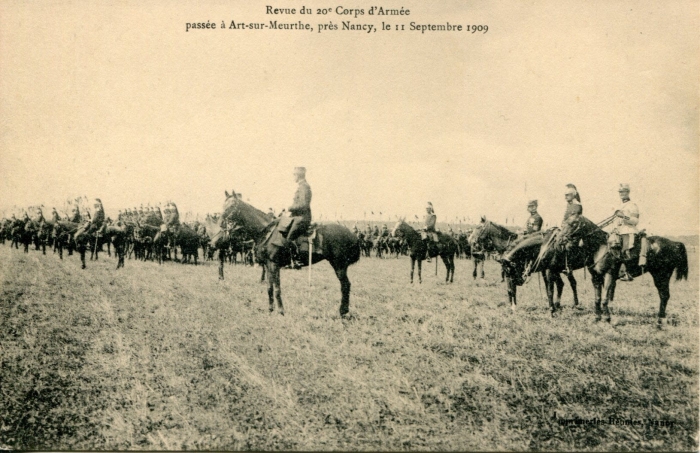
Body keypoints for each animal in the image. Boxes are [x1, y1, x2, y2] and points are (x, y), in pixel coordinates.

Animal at [220, 190, 360, 314]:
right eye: (223, 205)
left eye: (231, 205)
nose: (221, 223)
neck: (267, 232)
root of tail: (351, 234)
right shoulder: (268, 265)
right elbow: (269, 288)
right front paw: (270, 309)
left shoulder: (274, 264)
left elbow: (277, 288)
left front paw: (281, 311)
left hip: (339, 265)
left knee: (345, 285)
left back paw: (343, 312)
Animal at [556, 215, 688, 324]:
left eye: (573, 223)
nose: (560, 239)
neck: (600, 247)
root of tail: (675, 244)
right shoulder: (596, 277)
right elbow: (597, 298)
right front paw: (597, 318)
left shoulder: (609, 275)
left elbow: (605, 298)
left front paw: (607, 318)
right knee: (663, 295)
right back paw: (660, 319)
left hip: (662, 275)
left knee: (664, 295)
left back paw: (660, 321)